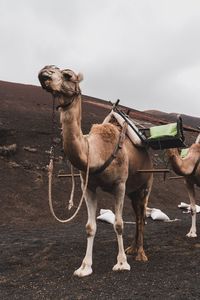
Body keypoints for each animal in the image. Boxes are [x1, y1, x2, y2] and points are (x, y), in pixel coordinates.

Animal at [38, 65, 153, 276]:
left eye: (67, 75)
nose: (45, 71)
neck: (96, 152)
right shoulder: (88, 186)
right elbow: (90, 226)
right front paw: (84, 267)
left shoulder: (119, 185)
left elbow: (118, 224)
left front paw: (122, 263)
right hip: (133, 190)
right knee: (137, 213)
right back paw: (133, 248)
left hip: (146, 184)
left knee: (141, 215)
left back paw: (140, 254)